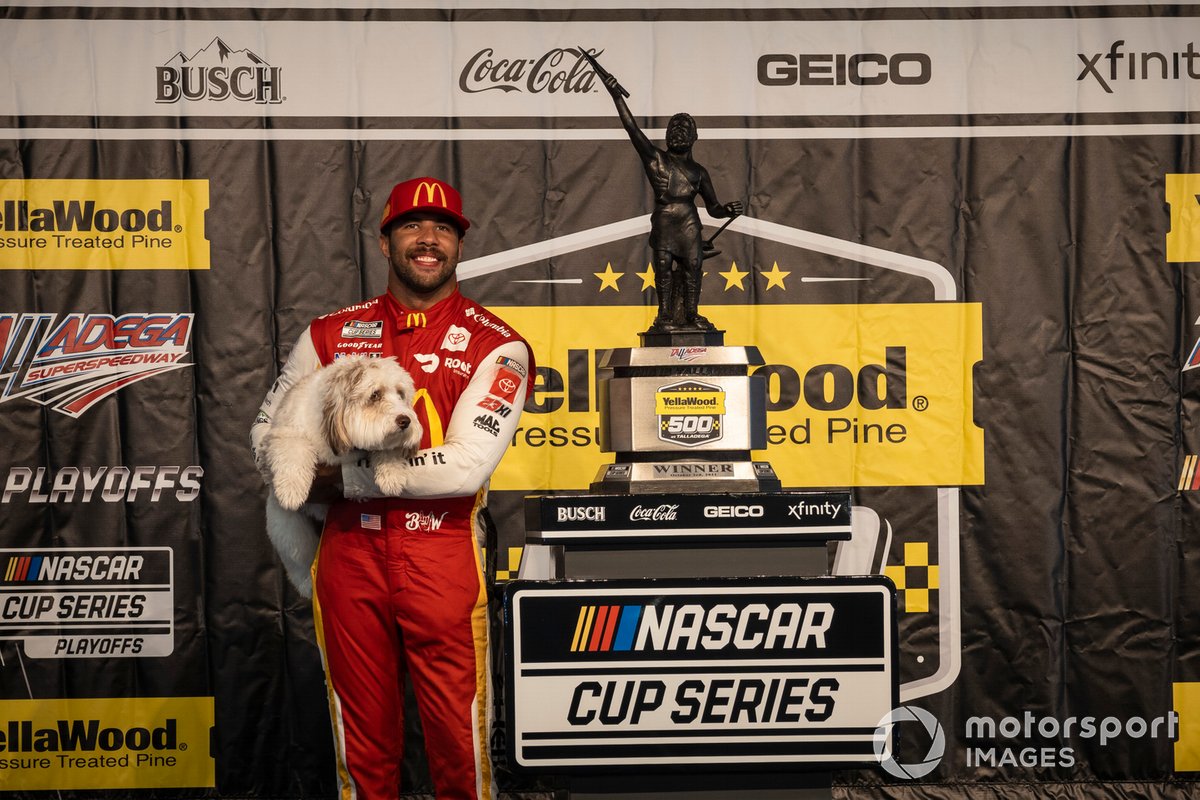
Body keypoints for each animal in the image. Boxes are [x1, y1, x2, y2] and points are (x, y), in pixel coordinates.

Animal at [258, 355, 422, 594]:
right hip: (289, 530)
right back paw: (307, 585)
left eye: (401, 394)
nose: (405, 420)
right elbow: (293, 451)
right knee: (298, 561)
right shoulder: (286, 434)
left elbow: (386, 450)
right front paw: (291, 490)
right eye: (375, 394)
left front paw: (391, 474)